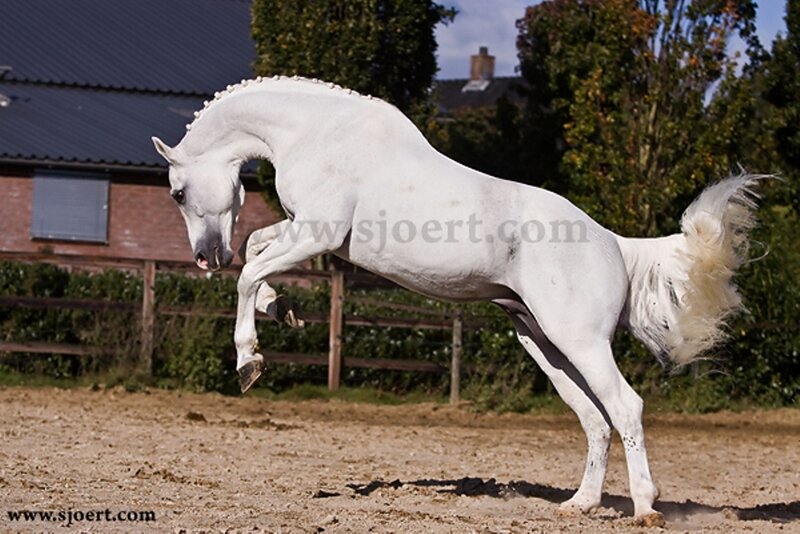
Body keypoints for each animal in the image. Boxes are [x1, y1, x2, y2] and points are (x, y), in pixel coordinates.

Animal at [151, 76, 763, 527]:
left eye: (177, 192)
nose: (205, 257)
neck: (318, 132)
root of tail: (614, 243)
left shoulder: (317, 235)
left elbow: (248, 272)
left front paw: (249, 360)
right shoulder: (305, 233)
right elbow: (256, 250)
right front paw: (283, 309)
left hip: (580, 342)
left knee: (626, 407)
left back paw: (644, 509)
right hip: (542, 342)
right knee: (595, 419)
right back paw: (580, 504)